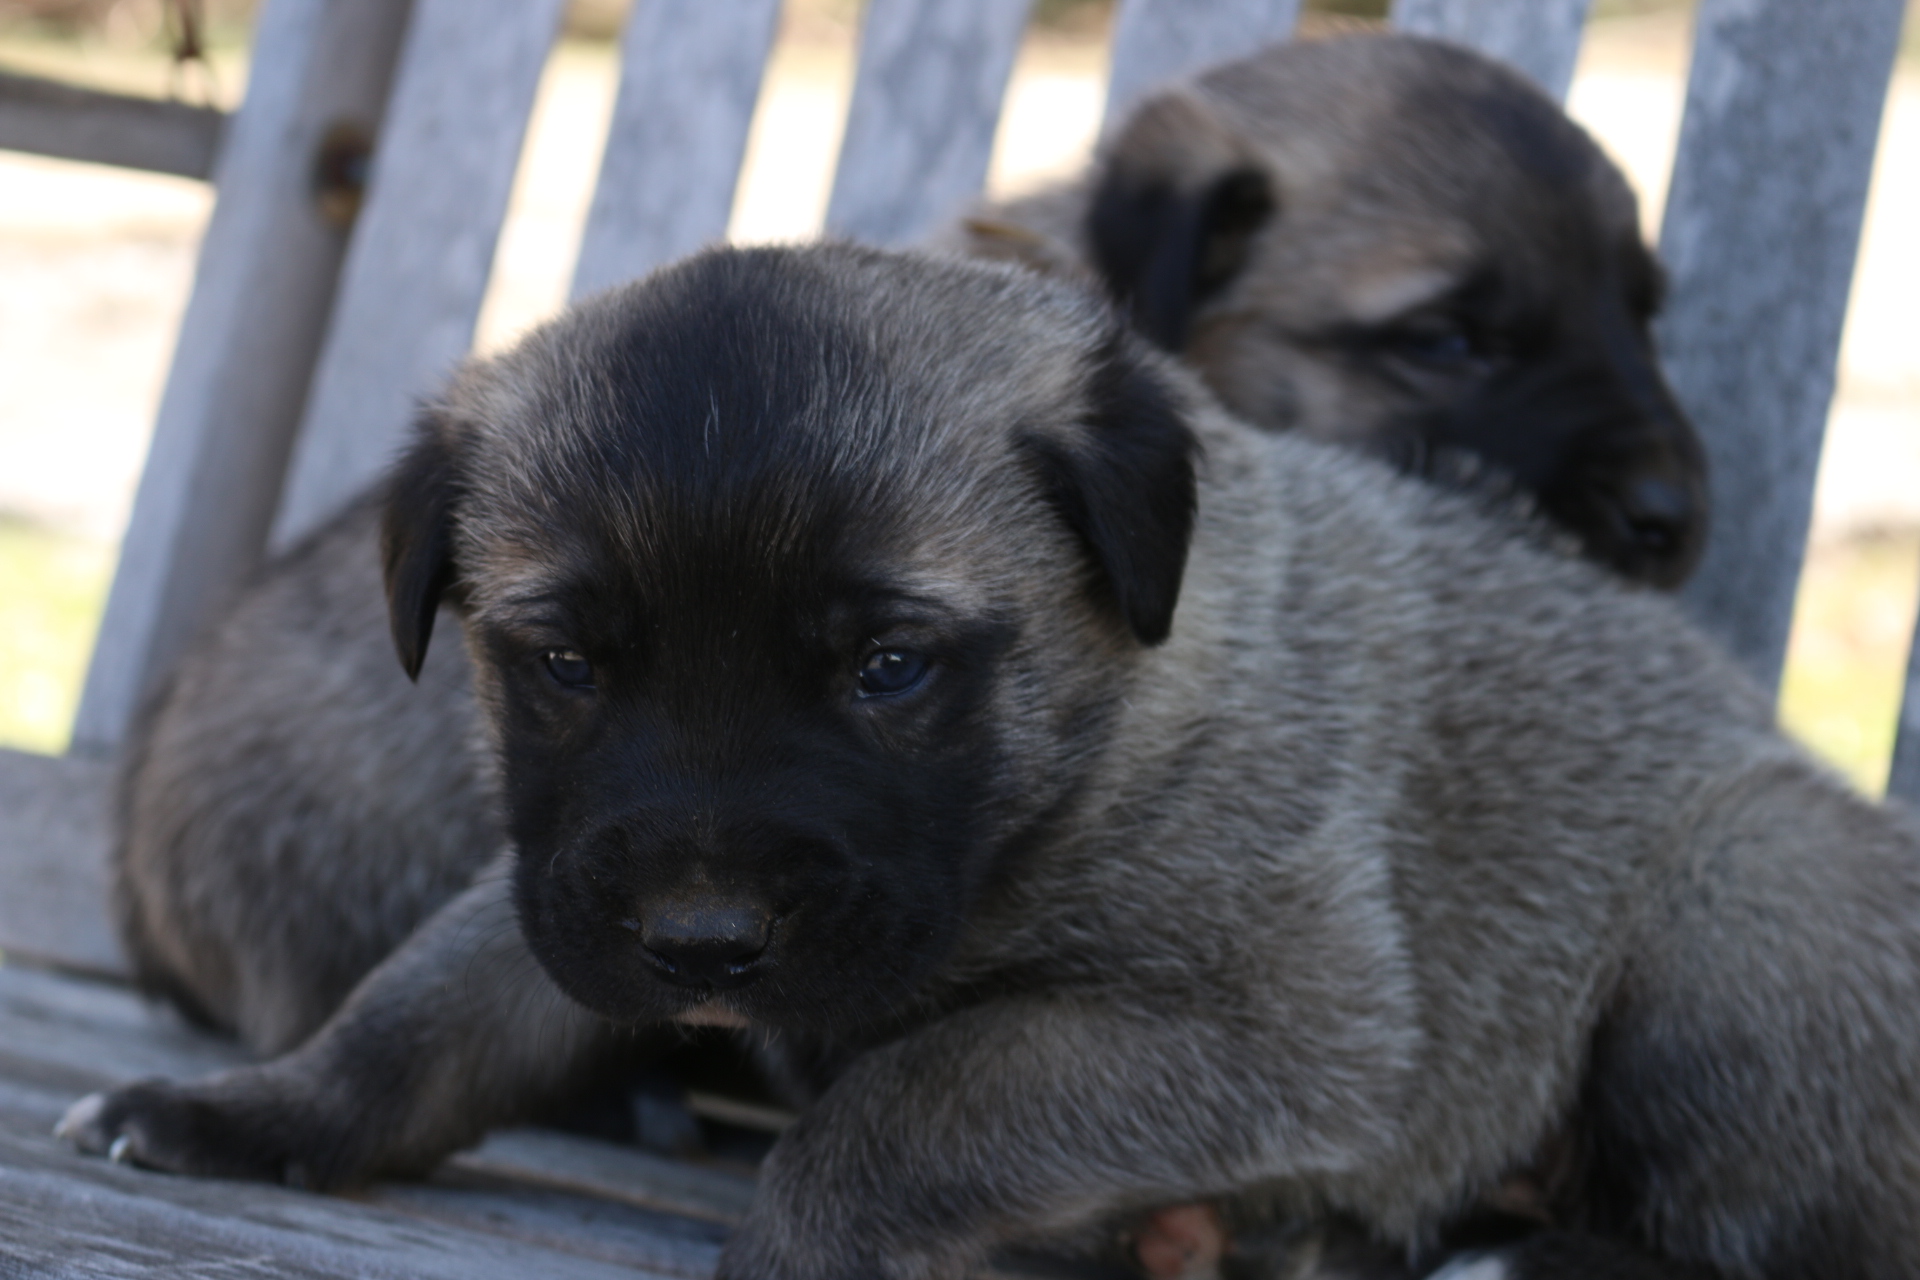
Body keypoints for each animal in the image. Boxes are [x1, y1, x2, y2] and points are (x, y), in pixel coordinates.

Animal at [66, 244, 1920, 1280]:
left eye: (892, 668)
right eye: (568, 664)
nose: (704, 948)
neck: (1098, 738)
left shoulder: (1266, 1034)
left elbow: (906, 1098)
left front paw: (802, 1246)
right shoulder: (569, 884)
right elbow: (421, 1011)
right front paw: (254, 1113)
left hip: (1740, 908)